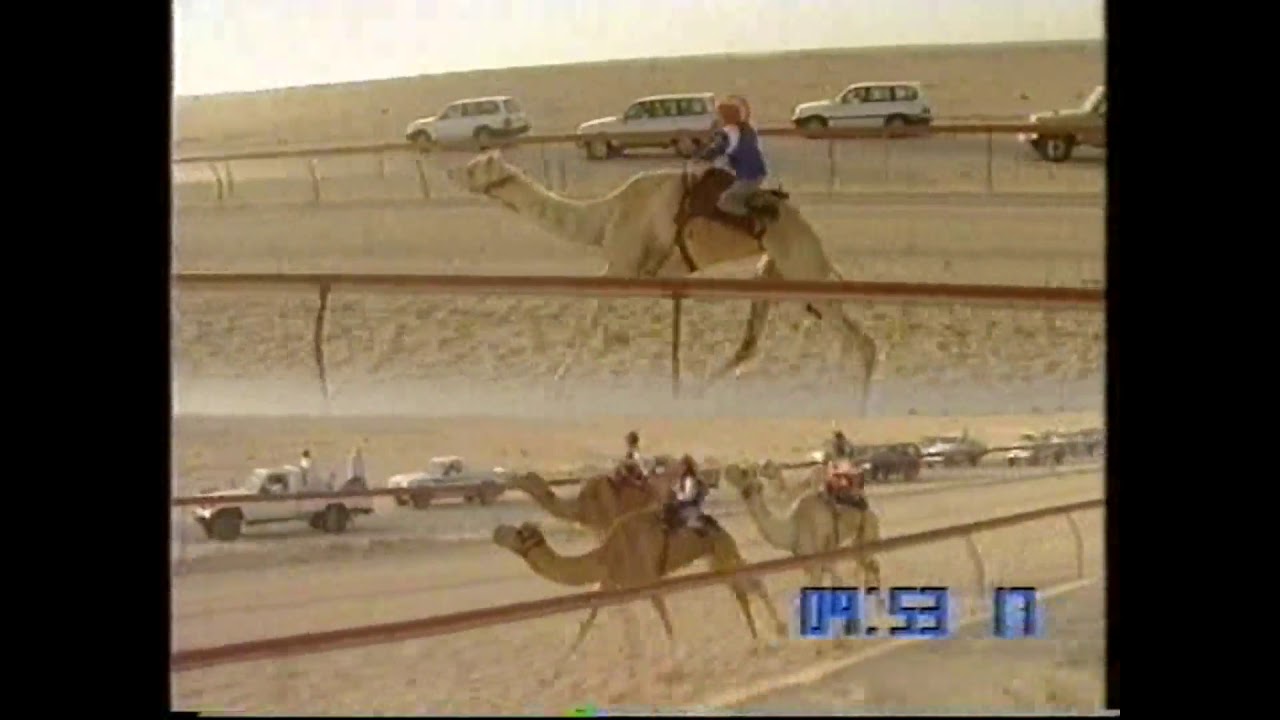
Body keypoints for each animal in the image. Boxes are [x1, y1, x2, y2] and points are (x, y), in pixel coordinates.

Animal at [444, 150, 880, 411]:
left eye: (474, 167)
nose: (453, 171)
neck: (604, 217)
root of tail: (815, 239)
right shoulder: (663, 274)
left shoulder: (622, 265)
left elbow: (591, 317)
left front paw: (556, 382)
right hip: (775, 271)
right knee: (755, 342)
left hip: (801, 265)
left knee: (856, 341)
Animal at [492, 507, 786, 668]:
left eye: (519, 534)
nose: (496, 531)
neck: (606, 555)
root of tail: (713, 521)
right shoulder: (612, 583)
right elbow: (592, 620)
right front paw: (557, 669)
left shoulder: (647, 580)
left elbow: (663, 616)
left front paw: (676, 662)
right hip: (714, 556)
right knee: (743, 586)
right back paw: (763, 638)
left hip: (722, 548)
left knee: (747, 584)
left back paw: (770, 635)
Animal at [721, 463, 884, 593]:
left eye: (744, 472)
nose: (727, 470)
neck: (794, 527)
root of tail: (871, 511)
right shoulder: (812, 564)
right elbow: (834, 581)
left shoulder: (816, 564)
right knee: (870, 567)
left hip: (867, 534)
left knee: (871, 566)